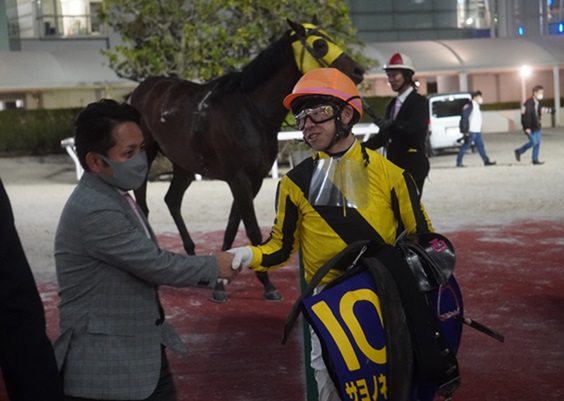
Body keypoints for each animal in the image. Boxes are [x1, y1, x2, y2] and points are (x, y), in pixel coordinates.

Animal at [128, 18, 366, 300]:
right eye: (320, 44)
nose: (358, 70)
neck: (251, 112)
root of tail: (140, 90)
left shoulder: (254, 178)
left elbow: (233, 224)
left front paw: (220, 281)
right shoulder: (238, 177)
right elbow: (251, 228)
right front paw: (267, 285)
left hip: (184, 163)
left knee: (172, 200)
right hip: (145, 153)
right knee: (142, 203)